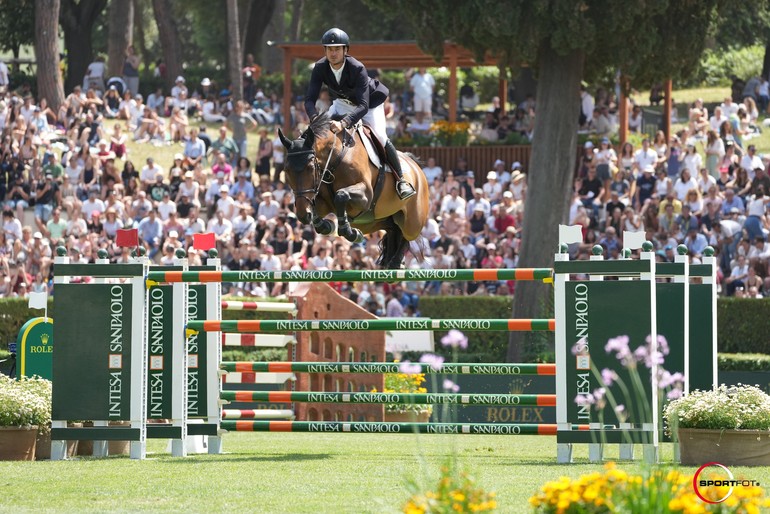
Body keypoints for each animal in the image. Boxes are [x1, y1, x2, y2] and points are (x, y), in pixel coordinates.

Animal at [280, 113, 428, 268]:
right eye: (286, 170)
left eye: (310, 168)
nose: (303, 215)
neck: (335, 158)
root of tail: (417, 168)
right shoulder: (321, 201)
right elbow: (316, 208)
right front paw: (326, 225)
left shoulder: (366, 196)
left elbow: (341, 195)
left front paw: (350, 232)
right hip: (375, 221)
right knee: (394, 229)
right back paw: (390, 261)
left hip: (413, 220)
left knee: (406, 235)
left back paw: (396, 261)